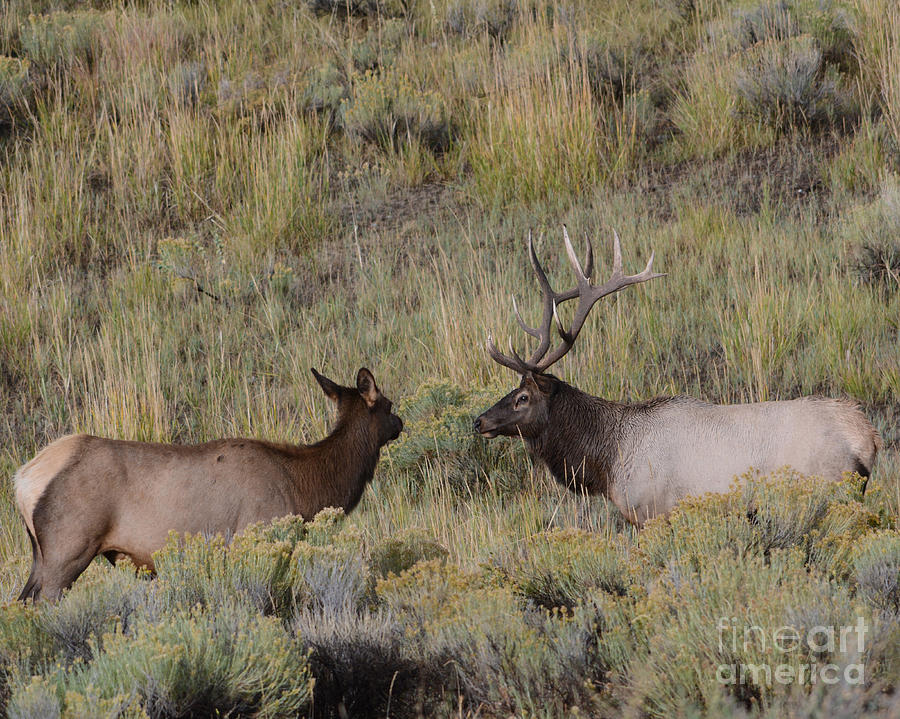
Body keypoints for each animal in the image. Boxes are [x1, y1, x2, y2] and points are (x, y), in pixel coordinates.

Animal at [474, 228, 884, 524]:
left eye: (522, 397)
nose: (479, 420)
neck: (607, 460)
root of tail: (868, 438)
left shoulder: (651, 512)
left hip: (822, 493)